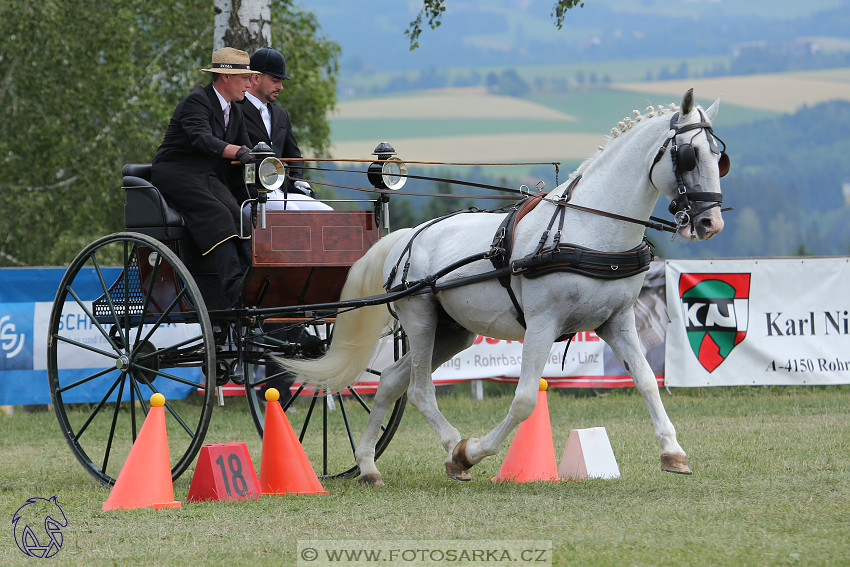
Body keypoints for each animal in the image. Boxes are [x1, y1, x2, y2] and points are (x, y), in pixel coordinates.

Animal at [276, 89, 724, 484]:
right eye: (689, 155)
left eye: (720, 157)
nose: (710, 223)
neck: (588, 228)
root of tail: (406, 235)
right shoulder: (543, 323)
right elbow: (524, 398)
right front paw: (473, 453)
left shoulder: (617, 321)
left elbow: (646, 381)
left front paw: (673, 453)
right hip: (420, 318)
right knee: (419, 389)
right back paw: (454, 448)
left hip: (452, 332)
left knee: (389, 381)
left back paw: (368, 465)